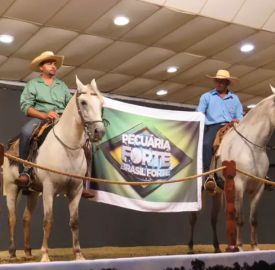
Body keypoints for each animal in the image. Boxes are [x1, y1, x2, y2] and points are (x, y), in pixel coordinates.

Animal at [3, 76, 105, 262]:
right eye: (83, 102)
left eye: (101, 103)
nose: (98, 131)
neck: (67, 147)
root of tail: (11, 146)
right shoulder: (49, 188)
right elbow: (48, 220)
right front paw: (44, 255)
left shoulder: (75, 190)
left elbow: (74, 221)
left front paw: (79, 255)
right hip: (12, 187)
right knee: (12, 218)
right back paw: (13, 253)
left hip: (33, 192)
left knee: (26, 218)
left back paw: (28, 252)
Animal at [189, 86, 275, 253]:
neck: (252, 147)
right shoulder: (239, 186)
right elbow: (239, 218)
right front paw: (239, 247)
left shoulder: (258, 188)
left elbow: (254, 219)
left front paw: (255, 247)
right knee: (193, 218)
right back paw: (190, 247)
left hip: (217, 193)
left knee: (213, 218)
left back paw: (217, 248)